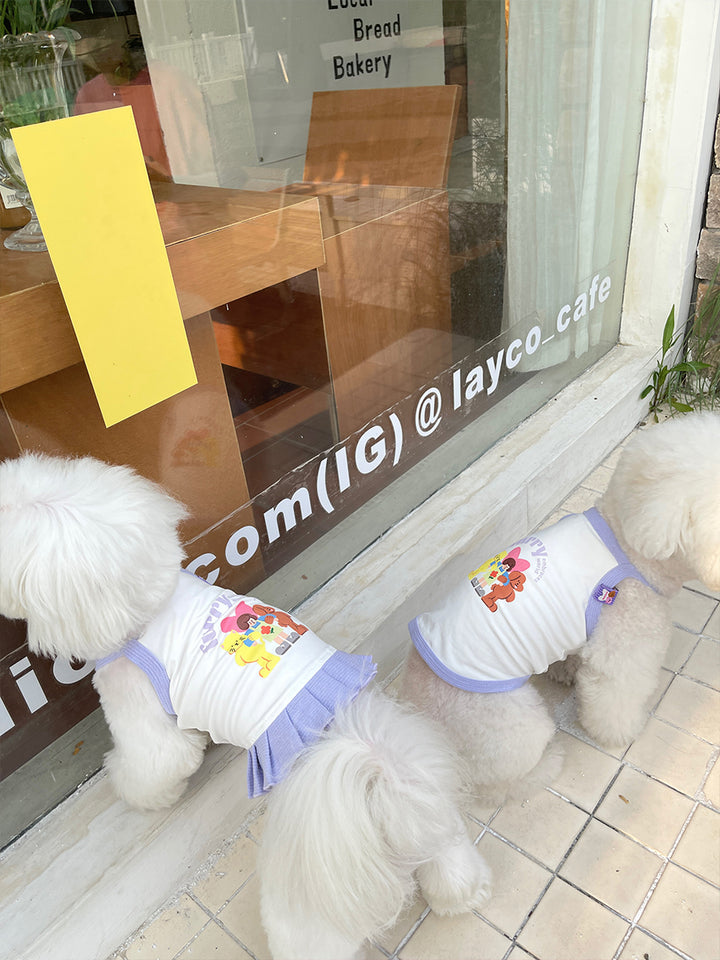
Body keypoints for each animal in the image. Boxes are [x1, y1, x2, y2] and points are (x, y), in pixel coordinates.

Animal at [0, 452, 490, 960]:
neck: (152, 602)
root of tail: (371, 763)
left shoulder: (135, 704)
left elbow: (156, 763)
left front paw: (136, 790)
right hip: (421, 806)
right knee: (443, 846)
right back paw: (461, 893)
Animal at [400, 412, 720, 804]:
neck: (627, 543)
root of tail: (415, 712)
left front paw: (565, 670)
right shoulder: (624, 653)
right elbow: (616, 700)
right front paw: (623, 732)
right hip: (511, 726)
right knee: (497, 784)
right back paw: (546, 765)